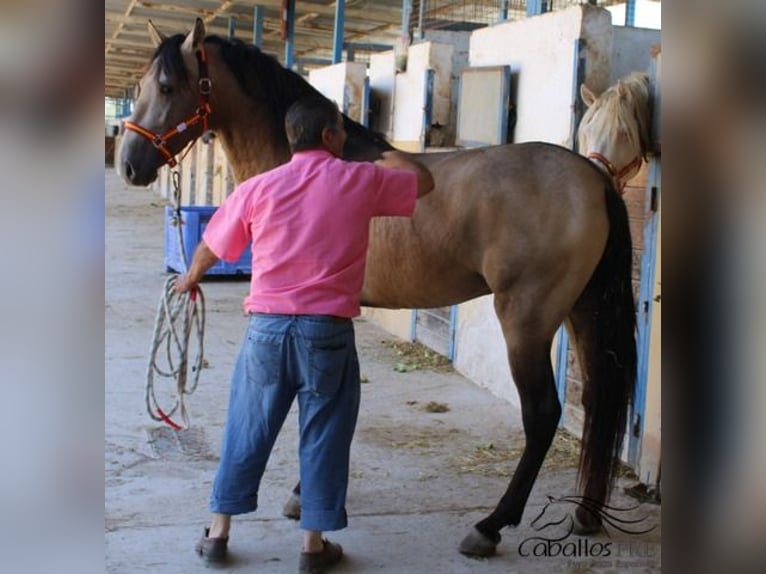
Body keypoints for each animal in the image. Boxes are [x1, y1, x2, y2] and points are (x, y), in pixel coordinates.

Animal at [118, 19, 636, 564]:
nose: (129, 164)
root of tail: (593, 177)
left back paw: (490, 526)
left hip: (526, 321)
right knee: (598, 403)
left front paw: (304, 495)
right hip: (582, 312)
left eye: (167, 87)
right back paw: (586, 515)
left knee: (542, 415)